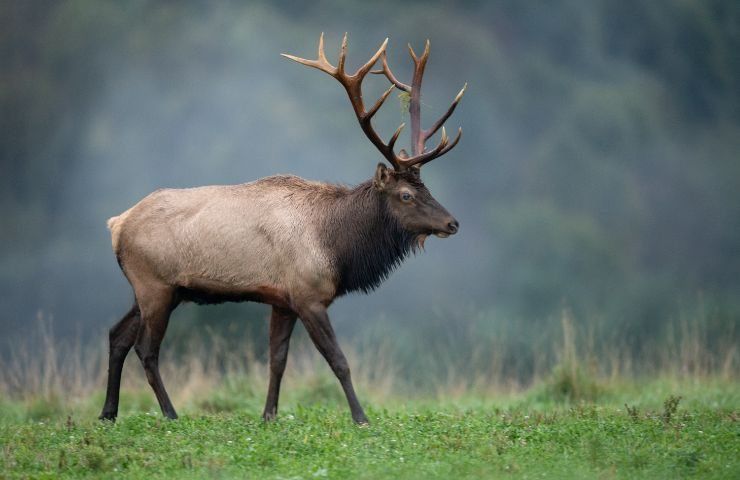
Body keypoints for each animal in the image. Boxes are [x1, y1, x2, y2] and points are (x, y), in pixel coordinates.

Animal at [100, 33, 466, 424]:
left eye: (427, 188)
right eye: (406, 195)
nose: (452, 222)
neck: (337, 246)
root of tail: (117, 224)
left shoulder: (282, 300)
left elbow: (277, 360)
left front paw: (269, 415)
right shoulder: (308, 294)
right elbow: (339, 361)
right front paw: (361, 417)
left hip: (154, 290)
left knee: (117, 335)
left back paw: (108, 413)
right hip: (155, 285)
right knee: (146, 348)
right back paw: (170, 414)